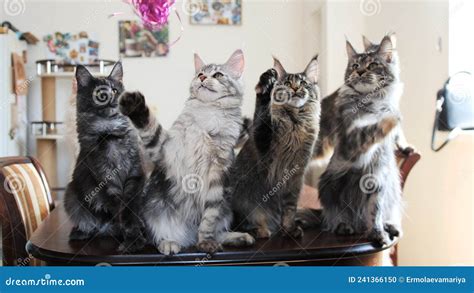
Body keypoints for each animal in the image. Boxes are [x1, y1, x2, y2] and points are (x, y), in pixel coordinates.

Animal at [64, 62, 146, 251]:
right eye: (98, 93)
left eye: (114, 90)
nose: (108, 98)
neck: (110, 132)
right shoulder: (106, 181)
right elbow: (120, 211)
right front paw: (132, 240)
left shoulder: (134, 175)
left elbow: (130, 210)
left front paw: (135, 238)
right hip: (70, 195)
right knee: (92, 224)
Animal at [119, 50, 256, 253]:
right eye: (200, 74)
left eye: (218, 75)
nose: (202, 79)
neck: (208, 117)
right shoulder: (165, 151)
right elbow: (150, 126)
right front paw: (134, 105)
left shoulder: (217, 177)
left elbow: (208, 219)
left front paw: (206, 242)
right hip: (152, 213)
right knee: (156, 238)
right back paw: (169, 243)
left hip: (226, 210)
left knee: (217, 232)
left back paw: (238, 237)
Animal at [229, 56, 320, 238]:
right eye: (287, 83)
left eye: (303, 83)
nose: (295, 88)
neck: (295, 123)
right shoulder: (264, 145)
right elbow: (263, 111)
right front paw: (265, 86)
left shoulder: (296, 176)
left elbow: (290, 208)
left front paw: (290, 229)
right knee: (238, 224)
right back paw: (258, 230)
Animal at [318, 34, 404, 246]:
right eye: (355, 65)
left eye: (372, 65)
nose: (360, 71)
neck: (371, 102)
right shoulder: (350, 141)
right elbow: (370, 130)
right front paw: (391, 119)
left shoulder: (378, 178)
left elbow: (375, 210)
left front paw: (378, 233)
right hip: (329, 185)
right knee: (334, 216)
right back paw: (344, 226)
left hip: (391, 185)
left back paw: (389, 226)